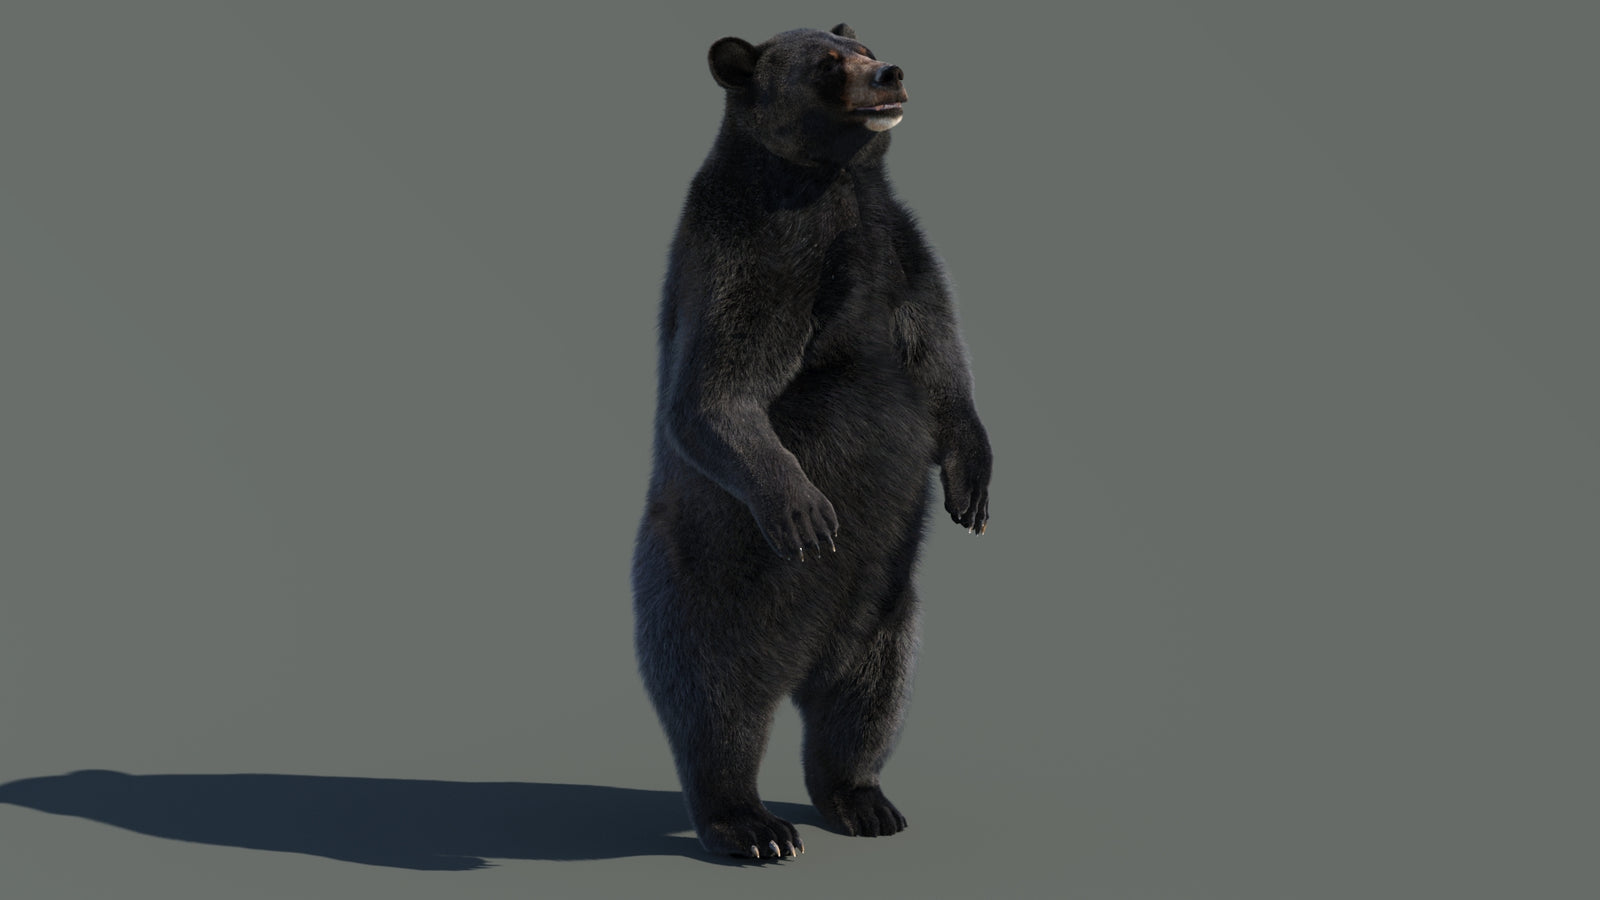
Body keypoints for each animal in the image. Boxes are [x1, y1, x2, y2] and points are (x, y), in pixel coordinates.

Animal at [631, 23, 992, 860]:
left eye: (863, 45)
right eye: (828, 64)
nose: (890, 72)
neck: (832, 184)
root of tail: (801, 661)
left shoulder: (900, 249)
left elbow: (941, 361)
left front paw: (972, 488)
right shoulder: (758, 249)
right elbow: (716, 391)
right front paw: (806, 510)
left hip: (887, 611)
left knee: (866, 700)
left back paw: (864, 800)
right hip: (706, 589)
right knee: (716, 702)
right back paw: (752, 825)